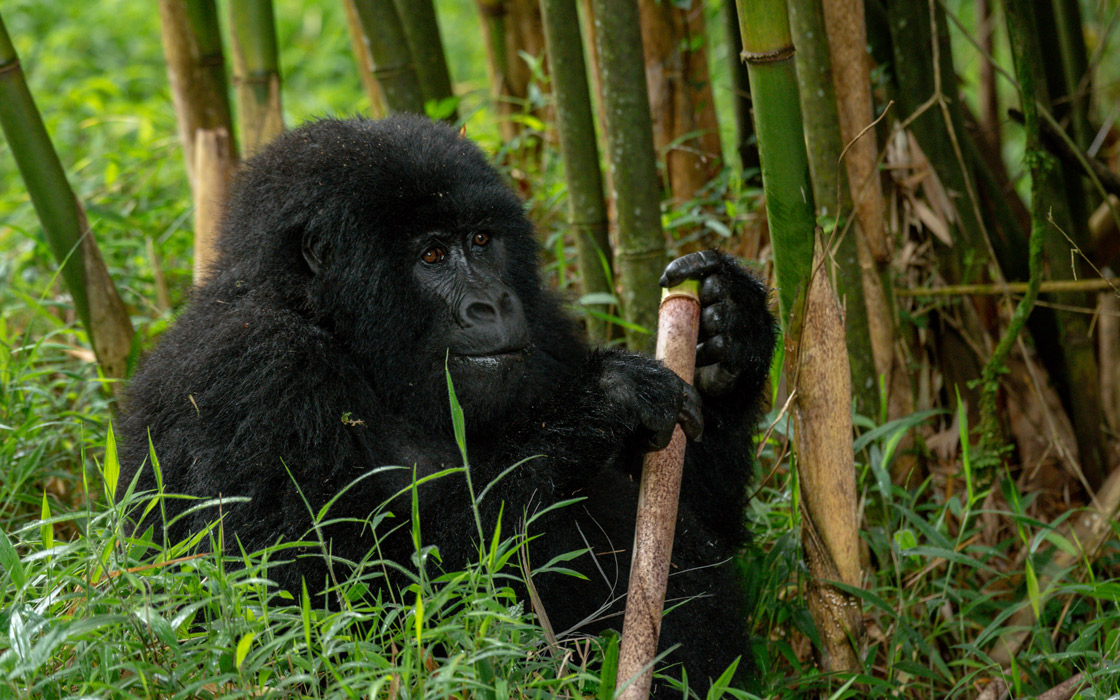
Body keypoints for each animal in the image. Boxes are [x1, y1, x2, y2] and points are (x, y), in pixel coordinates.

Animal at [118, 114, 775, 689]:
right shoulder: (256, 372)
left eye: (481, 240)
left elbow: (689, 513)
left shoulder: (546, 325)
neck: (336, 327)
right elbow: (307, 613)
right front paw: (600, 405)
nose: (492, 303)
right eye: (431, 256)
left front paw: (733, 328)